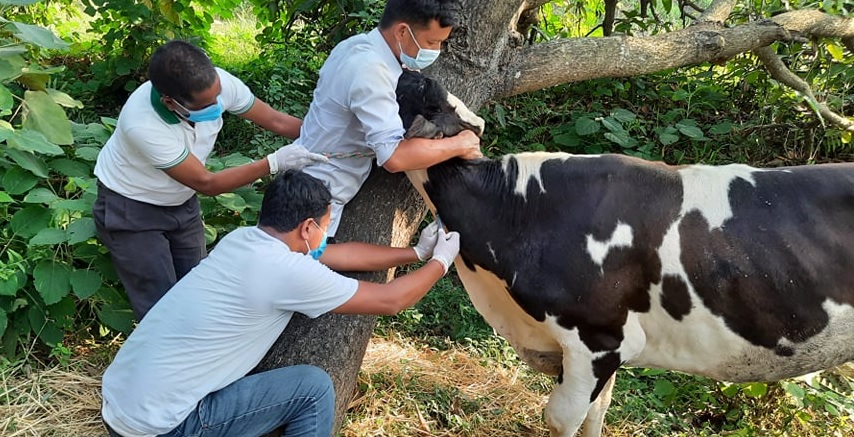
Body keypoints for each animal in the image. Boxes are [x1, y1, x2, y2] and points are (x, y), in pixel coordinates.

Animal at [398, 70, 854, 434]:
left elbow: (561, 418)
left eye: (428, 99)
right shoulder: (606, 352)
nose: (413, 71)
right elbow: (595, 416)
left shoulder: (597, 339)